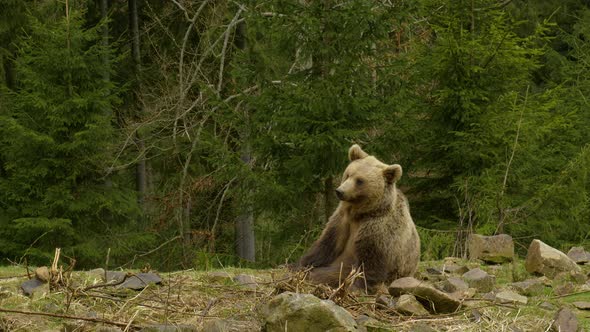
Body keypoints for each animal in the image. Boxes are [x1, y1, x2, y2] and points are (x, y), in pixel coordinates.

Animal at [300, 144, 420, 290]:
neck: (359, 213)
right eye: (348, 174)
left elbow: (369, 264)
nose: (340, 191)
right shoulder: (341, 221)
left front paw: (357, 286)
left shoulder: (378, 229)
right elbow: (325, 245)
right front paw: (301, 264)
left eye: (360, 181)